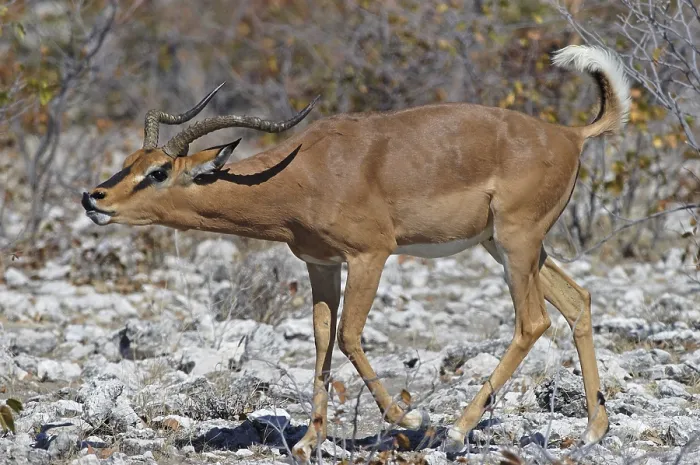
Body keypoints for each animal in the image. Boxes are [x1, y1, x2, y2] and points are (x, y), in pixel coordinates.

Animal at [82, 45, 629, 459]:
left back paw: (455, 432)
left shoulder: (371, 255)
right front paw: (308, 441)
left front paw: (411, 417)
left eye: (158, 172)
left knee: (532, 321)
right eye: (131, 160)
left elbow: (349, 336)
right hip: (507, 246)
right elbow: (323, 340)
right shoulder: (320, 263)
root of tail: (570, 135)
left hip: (516, 243)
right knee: (578, 300)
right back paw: (592, 431)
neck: (306, 171)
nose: (93, 197)